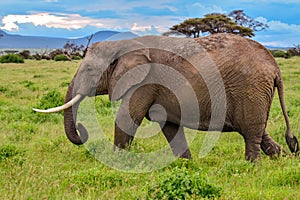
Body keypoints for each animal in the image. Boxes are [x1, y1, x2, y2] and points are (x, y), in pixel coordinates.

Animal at [34, 32, 298, 161]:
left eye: (89, 70)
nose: (82, 129)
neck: (124, 44)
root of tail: (275, 67)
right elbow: (169, 126)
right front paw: (186, 164)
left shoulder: (144, 83)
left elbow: (127, 118)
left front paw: (116, 163)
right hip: (255, 92)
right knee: (258, 131)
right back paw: (284, 160)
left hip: (249, 88)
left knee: (251, 133)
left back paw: (252, 165)